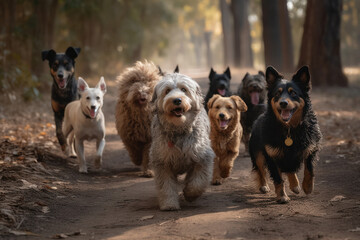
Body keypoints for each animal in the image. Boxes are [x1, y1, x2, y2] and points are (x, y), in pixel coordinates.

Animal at [149, 71, 214, 210]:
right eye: (167, 91)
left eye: (184, 89)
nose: (177, 100)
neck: (179, 130)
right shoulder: (162, 161)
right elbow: (166, 186)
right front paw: (169, 204)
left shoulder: (203, 157)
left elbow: (199, 181)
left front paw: (190, 194)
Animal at [249, 66, 322, 204]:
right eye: (277, 94)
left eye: (293, 93)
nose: (283, 103)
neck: (289, 128)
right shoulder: (271, 154)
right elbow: (278, 179)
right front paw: (282, 196)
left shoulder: (311, 147)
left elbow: (309, 168)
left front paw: (307, 187)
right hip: (258, 153)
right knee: (260, 169)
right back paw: (264, 185)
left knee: (290, 169)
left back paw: (295, 186)